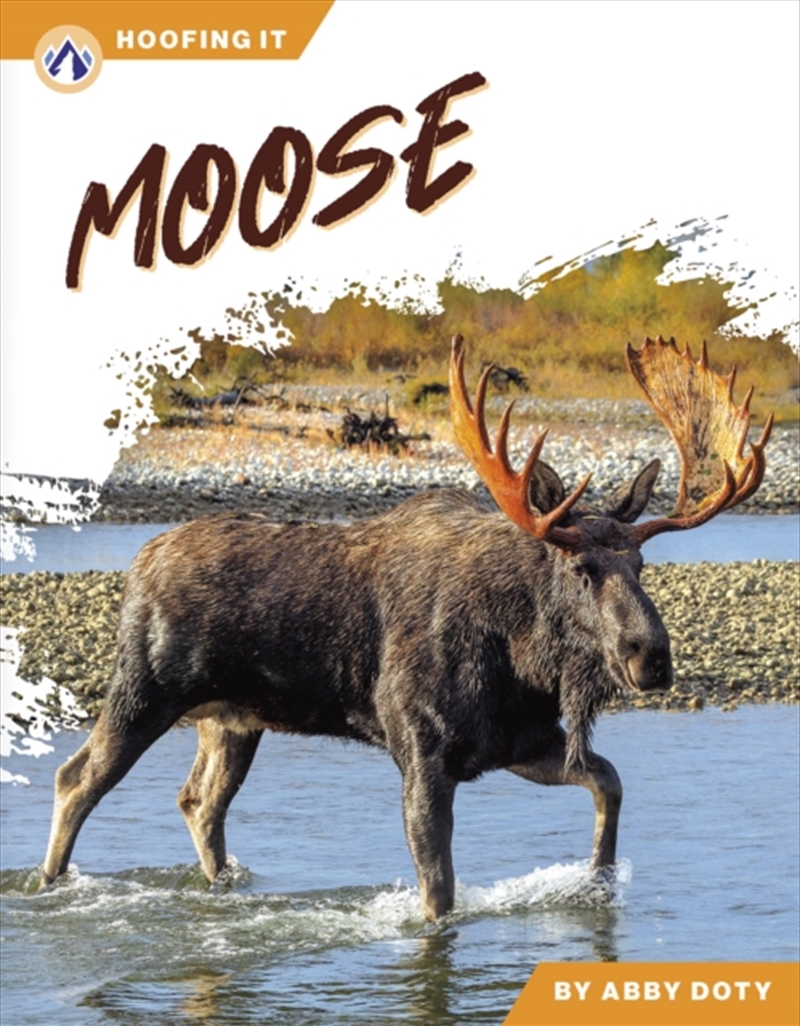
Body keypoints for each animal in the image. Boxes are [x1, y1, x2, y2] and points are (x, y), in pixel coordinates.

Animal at [40, 335, 772, 920]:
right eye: (582, 567)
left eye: (642, 563)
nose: (652, 655)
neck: (521, 656)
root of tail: (139, 562)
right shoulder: (423, 752)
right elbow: (437, 895)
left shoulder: (519, 742)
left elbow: (610, 782)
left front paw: (597, 879)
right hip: (144, 690)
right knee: (77, 778)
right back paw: (48, 886)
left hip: (233, 719)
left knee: (199, 802)